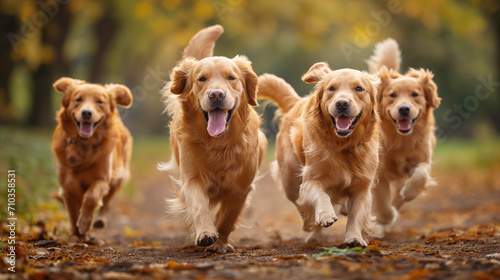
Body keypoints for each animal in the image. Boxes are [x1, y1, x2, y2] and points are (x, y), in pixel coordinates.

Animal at [51, 77, 133, 240]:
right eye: (78, 99)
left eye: (100, 101)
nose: (86, 113)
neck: (83, 144)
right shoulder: (67, 186)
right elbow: (72, 212)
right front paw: (78, 233)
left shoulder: (102, 178)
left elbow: (91, 197)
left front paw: (84, 224)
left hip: (118, 177)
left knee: (107, 201)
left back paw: (100, 220)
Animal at [158, 25, 268, 253]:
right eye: (201, 79)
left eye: (231, 78)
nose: (216, 94)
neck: (219, 143)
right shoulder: (192, 179)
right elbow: (200, 206)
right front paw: (206, 233)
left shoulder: (241, 188)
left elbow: (227, 218)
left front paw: (220, 243)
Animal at [258, 62, 382, 246]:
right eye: (331, 88)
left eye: (359, 88)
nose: (342, 103)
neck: (343, 146)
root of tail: (296, 103)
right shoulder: (310, 181)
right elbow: (320, 196)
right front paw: (325, 215)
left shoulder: (362, 187)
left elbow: (356, 214)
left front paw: (354, 237)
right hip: (290, 180)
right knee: (302, 206)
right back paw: (312, 231)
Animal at [368, 38, 442, 224]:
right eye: (392, 95)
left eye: (415, 94)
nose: (403, 109)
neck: (401, 139)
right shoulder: (380, 171)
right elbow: (382, 200)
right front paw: (387, 216)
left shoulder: (422, 158)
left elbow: (421, 174)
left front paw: (409, 192)